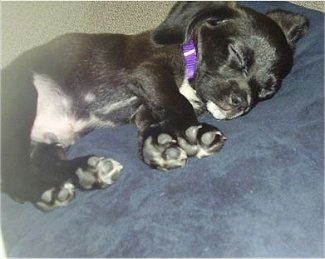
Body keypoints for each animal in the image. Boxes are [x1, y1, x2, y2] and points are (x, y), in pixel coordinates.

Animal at [1, 1, 308, 211]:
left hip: (50, 141)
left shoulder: (145, 108)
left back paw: (85, 172)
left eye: (266, 91)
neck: (188, 53)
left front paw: (158, 148)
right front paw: (193, 133)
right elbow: (177, 102)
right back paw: (47, 191)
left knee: (41, 162)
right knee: (13, 174)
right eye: (237, 55)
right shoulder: (149, 71)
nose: (242, 103)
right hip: (22, 100)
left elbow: (155, 120)